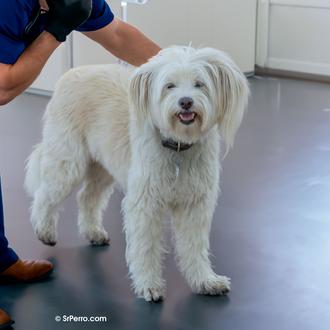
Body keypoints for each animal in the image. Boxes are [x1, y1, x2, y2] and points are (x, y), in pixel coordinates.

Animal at [25, 46, 248, 302]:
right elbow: (146, 247)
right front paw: (148, 285)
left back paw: (93, 232)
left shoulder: (195, 206)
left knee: (87, 197)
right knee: (45, 194)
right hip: (67, 161)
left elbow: (194, 247)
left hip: (103, 167)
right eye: (170, 86)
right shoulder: (145, 206)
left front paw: (205, 281)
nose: (185, 102)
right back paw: (44, 230)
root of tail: (70, 73)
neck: (178, 148)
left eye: (199, 84)